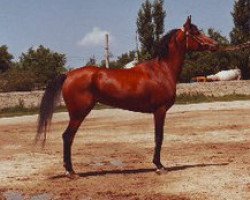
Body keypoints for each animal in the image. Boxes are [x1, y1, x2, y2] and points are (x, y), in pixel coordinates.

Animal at [36, 16, 218, 177]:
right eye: (195, 32)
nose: (215, 44)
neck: (162, 70)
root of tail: (68, 74)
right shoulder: (160, 111)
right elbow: (159, 137)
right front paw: (159, 166)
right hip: (78, 114)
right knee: (67, 137)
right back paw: (71, 172)